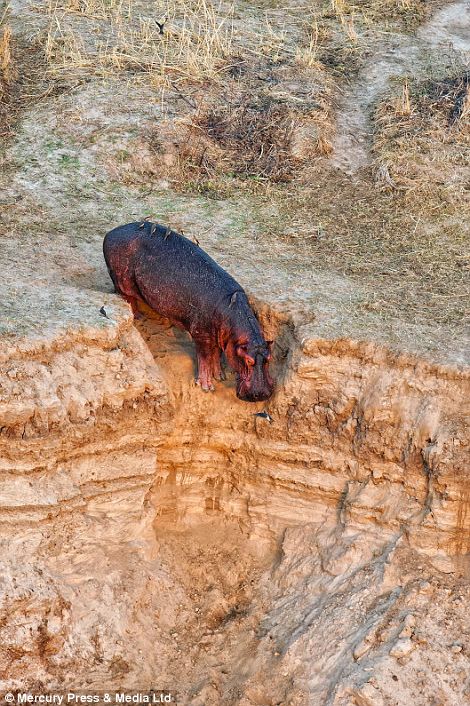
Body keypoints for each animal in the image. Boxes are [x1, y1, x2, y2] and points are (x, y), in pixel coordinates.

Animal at [102, 220, 272, 402]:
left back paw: (140, 316)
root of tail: (111, 232)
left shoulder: (220, 335)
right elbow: (205, 358)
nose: (260, 395)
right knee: (128, 299)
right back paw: (136, 318)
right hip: (122, 281)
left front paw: (220, 376)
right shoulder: (201, 334)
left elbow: (217, 354)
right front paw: (206, 387)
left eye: (269, 358)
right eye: (248, 360)